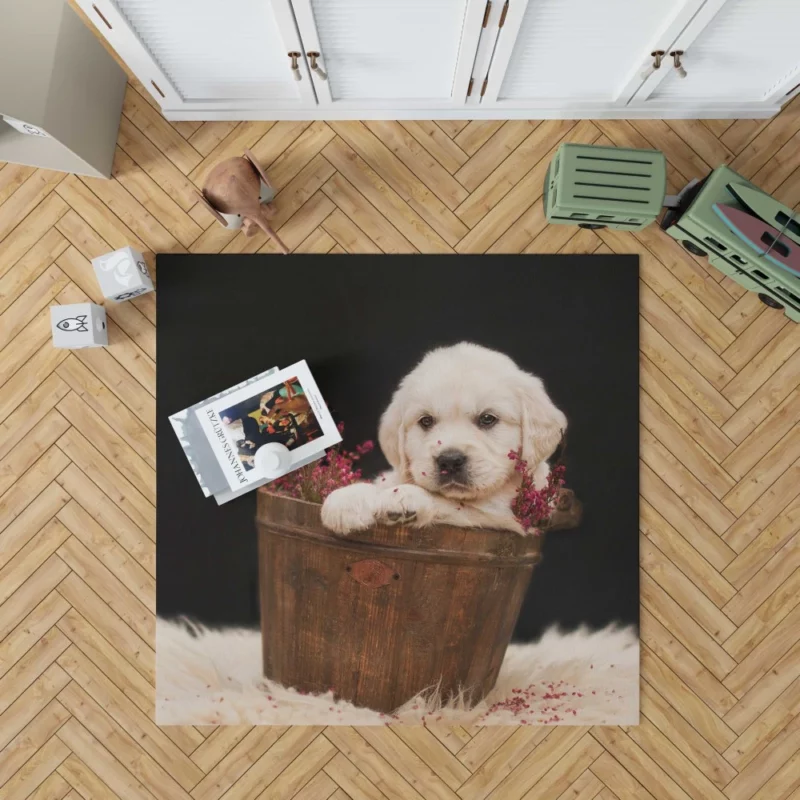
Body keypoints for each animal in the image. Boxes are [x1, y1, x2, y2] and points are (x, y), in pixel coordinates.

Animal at [322, 340, 564, 536]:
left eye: (487, 419)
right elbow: (385, 481)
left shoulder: (506, 516)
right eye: (426, 421)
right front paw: (346, 500)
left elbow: (452, 504)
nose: (450, 461)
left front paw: (405, 496)